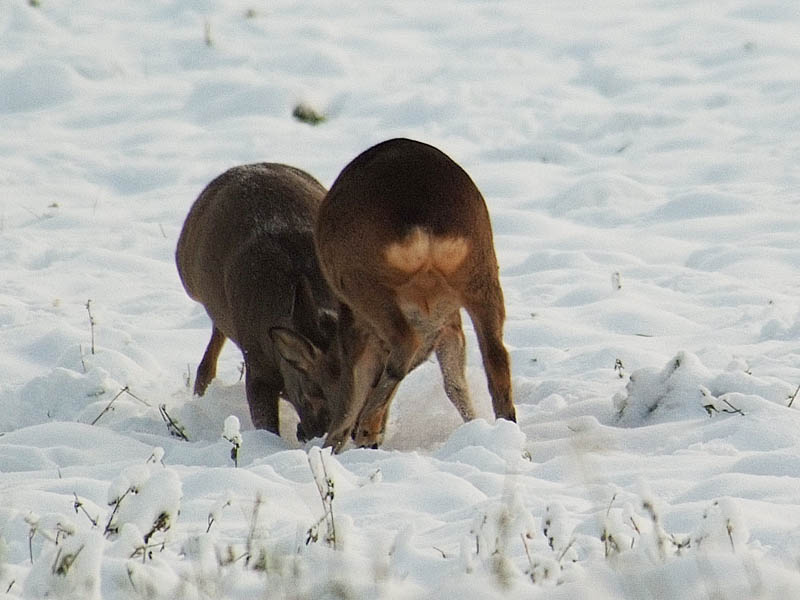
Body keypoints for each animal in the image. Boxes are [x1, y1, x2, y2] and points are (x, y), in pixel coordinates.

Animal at [272, 138, 516, 452]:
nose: (305, 431)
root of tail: (424, 223)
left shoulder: (354, 318)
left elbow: (354, 381)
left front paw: (340, 441)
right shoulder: (448, 321)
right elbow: (454, 380)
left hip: (363, 281)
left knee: (403, 343)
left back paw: (362, 426)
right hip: (481, 271)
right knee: (496, 358)